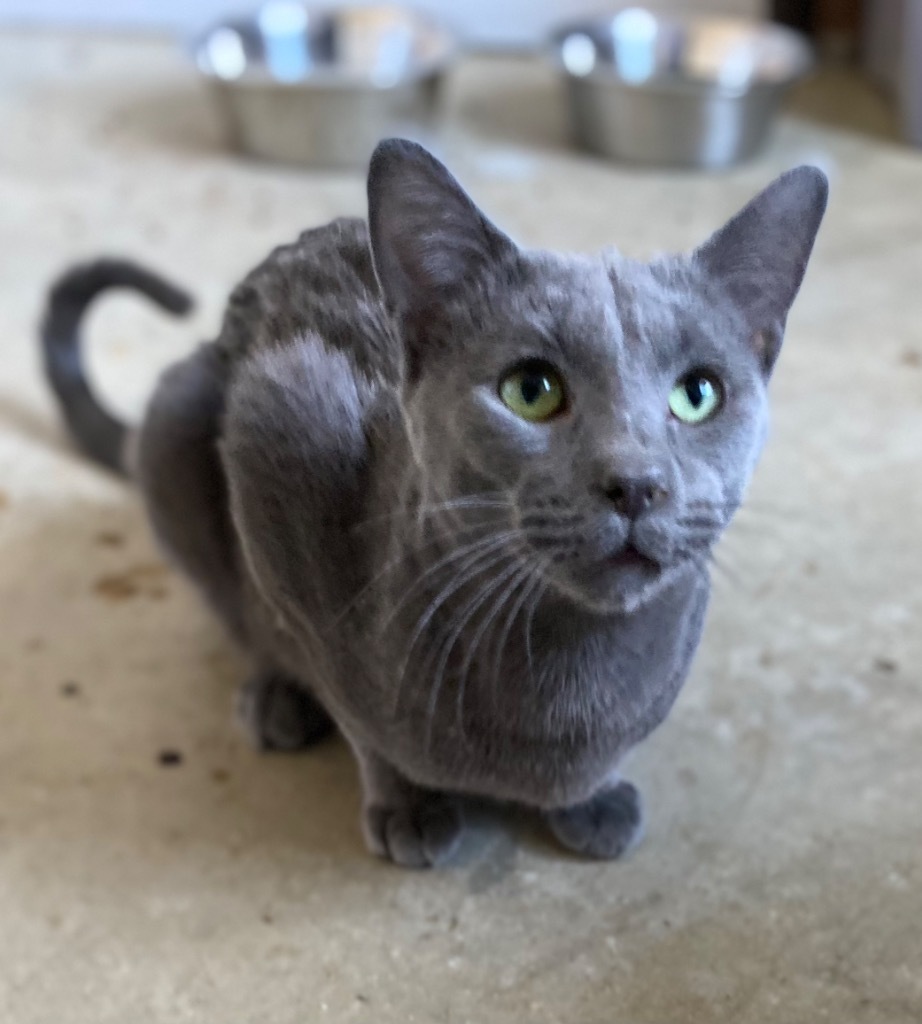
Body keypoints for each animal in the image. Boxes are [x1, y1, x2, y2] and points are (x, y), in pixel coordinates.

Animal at [41, 140, 827, 868]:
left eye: (698, 394)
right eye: (530, 389)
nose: (635, 481)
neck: (566, 685)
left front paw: (590, 800)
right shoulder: (280, 434)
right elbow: (355, 712)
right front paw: (407, 805)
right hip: (174, 421)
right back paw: (274, 698)